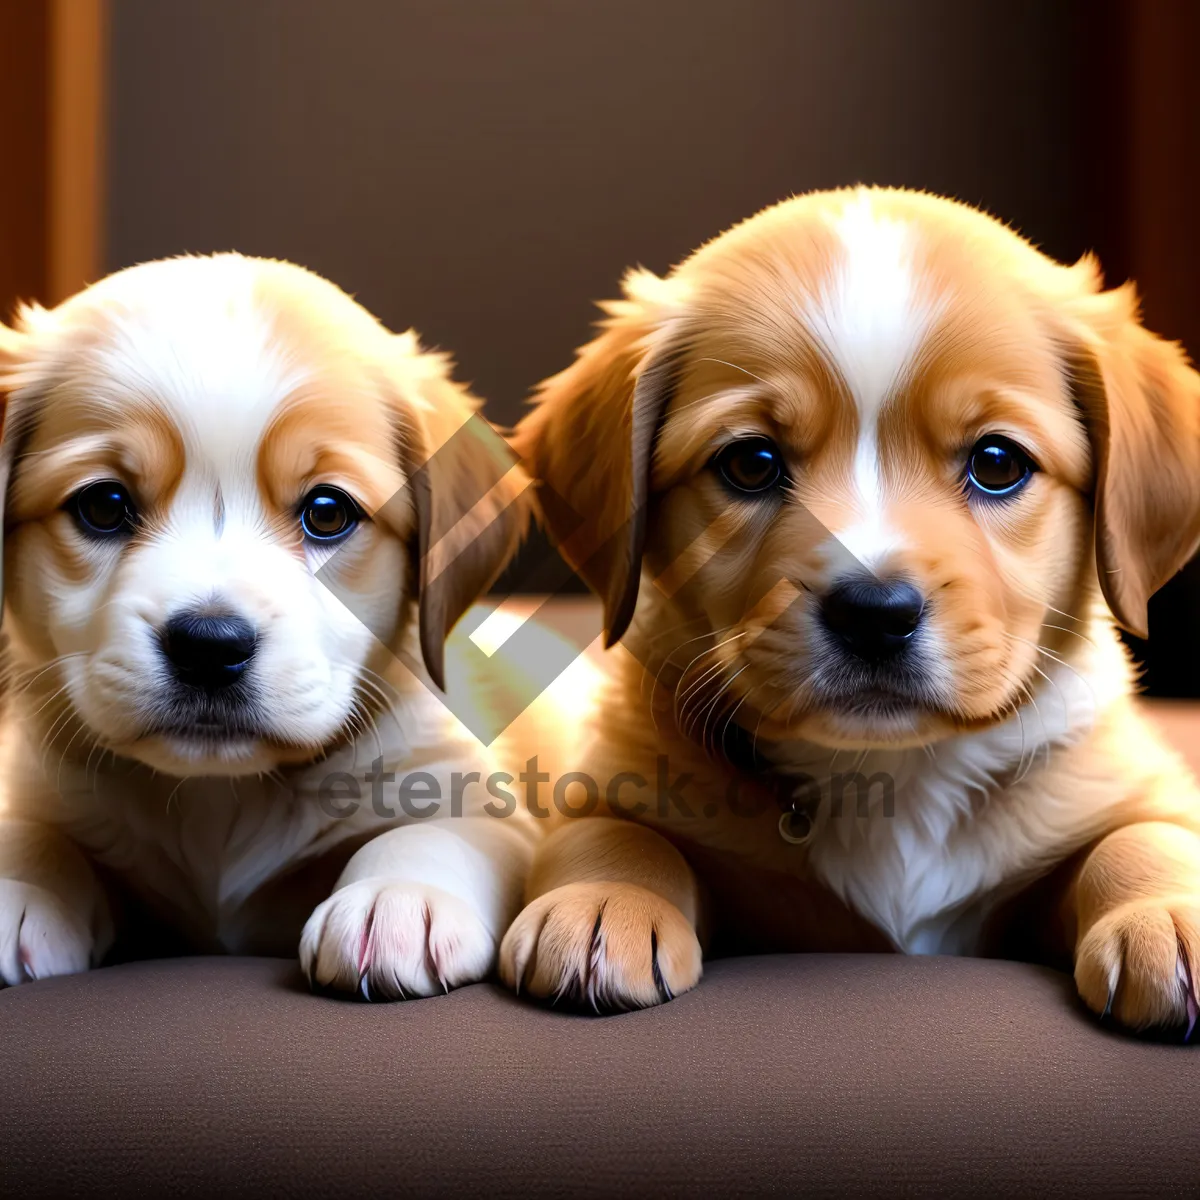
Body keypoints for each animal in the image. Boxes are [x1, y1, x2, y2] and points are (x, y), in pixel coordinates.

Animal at [0, 258, 540, 998]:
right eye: (104, 506)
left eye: (327, 513)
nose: (209, 647)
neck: (219, 797)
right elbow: (29, 829)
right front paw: (21, 884)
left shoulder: (482, 797)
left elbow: (436, 831)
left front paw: (400, 899)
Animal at [501, 184, 1200, 1032]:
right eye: (750, 462)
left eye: (998, 463)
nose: (875, 612)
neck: (892, 776)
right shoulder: (618, 780)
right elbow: (614, 833)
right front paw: (602, 902)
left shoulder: (1122, 780)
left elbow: (1145, 836)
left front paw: (1169, 914)